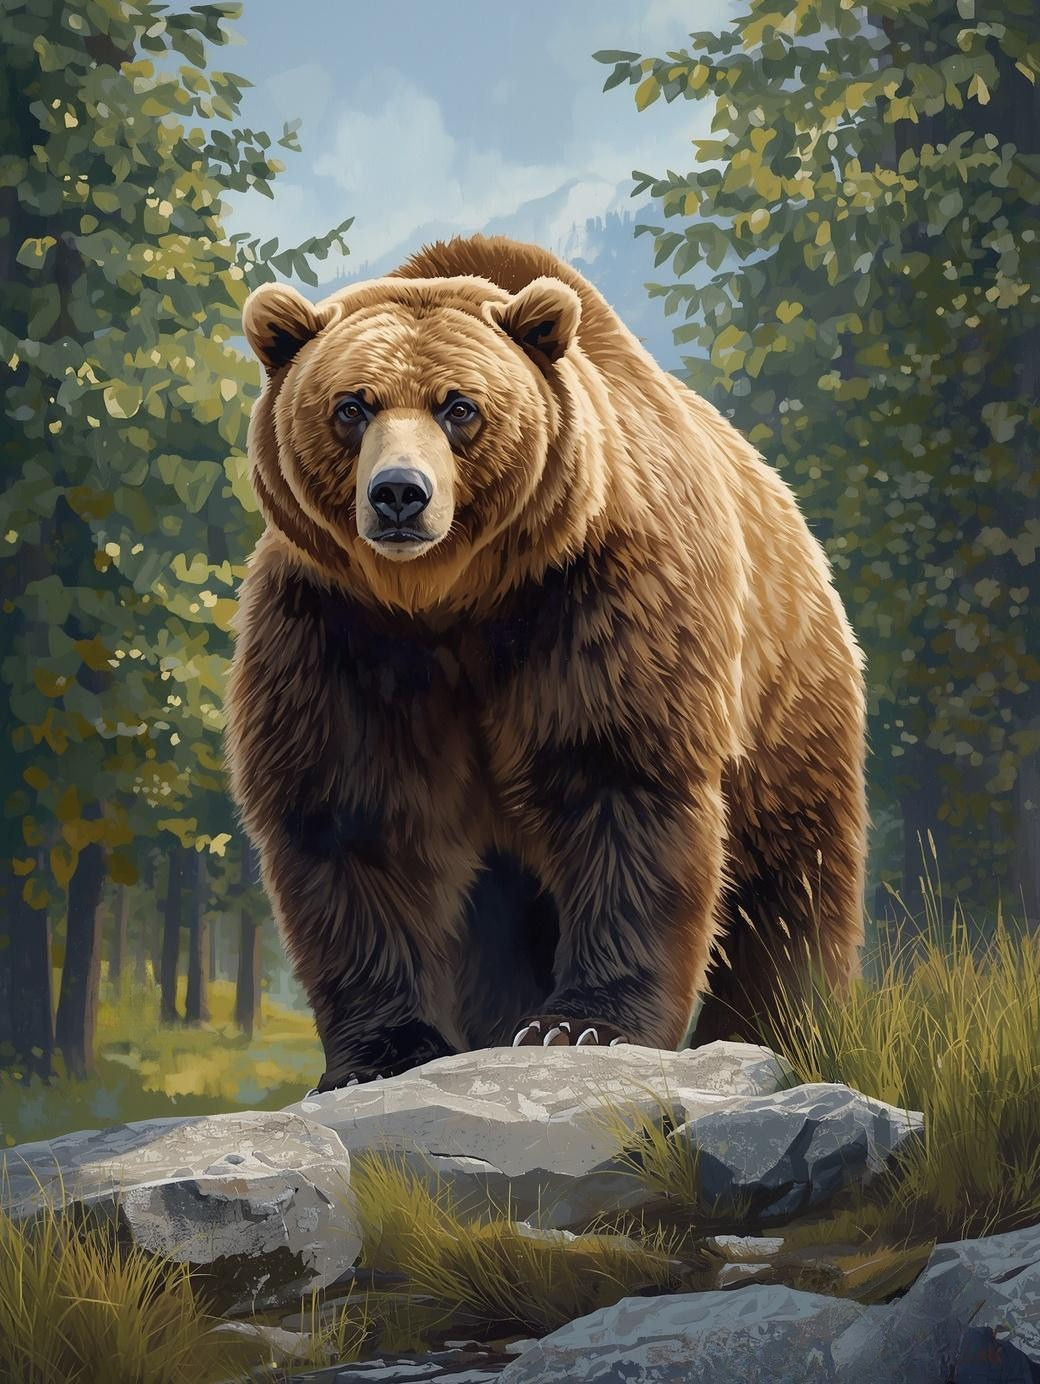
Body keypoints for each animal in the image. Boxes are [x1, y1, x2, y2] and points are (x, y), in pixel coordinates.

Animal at [224, 233, 867, 1092]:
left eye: (459, 406)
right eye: (351, 405)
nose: (399, 494)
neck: (453, 601)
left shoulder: (603, 599)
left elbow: (622, 787)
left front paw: (580, 1024)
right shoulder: (335, 631)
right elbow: (350, 814)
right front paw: (382, 1053)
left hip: (785, 686)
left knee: (789, 869)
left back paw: (780, 1025)